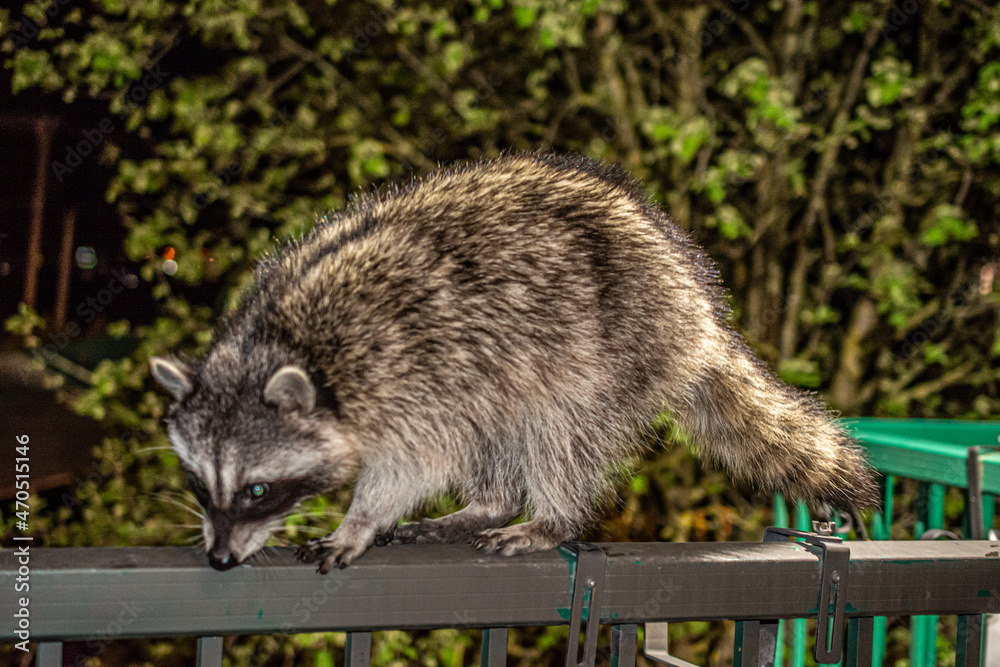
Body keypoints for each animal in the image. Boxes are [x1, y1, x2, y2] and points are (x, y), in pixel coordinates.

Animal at [150, 153, 878, 573]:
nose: (219, 558)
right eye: (200, 483)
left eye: (258, 489)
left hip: (609, 343)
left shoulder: (414, 373)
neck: (280, 344)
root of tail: (699, 309)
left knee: (560, 430)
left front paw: (359, 519)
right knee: (499, 427)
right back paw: (489, 503)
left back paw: (549, 516)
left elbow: (416, 462)